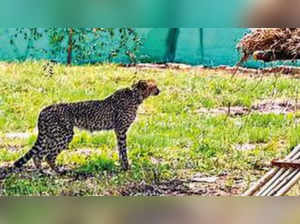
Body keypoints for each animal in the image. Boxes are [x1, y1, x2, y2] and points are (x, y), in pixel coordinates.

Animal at [0, 79, 159, 178]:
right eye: (153, 86)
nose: (159, 90)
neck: (136, 95)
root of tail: (44, 109)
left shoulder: (117, 131)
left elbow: (120, 150)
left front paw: (122, 166)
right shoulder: (121, 130)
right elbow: (123, 150)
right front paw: (126, 167)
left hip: (51, 135)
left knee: (38, 155)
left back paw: (44, 172)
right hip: (64, 134)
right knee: (47, 155)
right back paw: (55, 172)